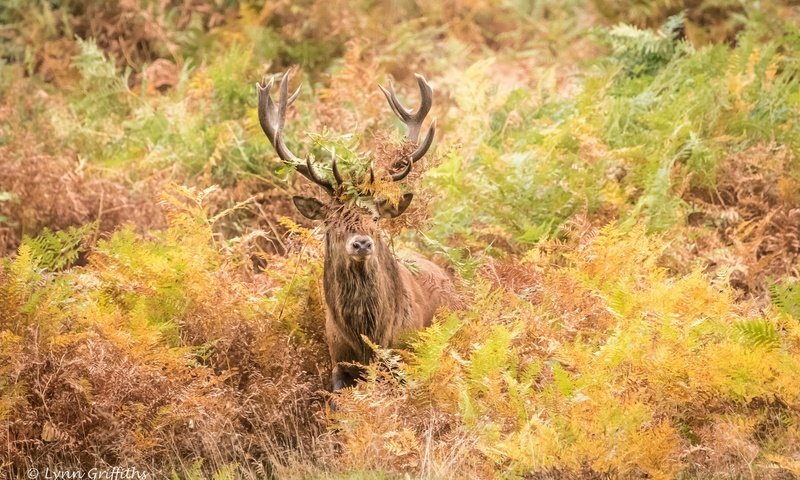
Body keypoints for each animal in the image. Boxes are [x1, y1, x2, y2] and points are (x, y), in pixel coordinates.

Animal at [260, 72, 454, 394]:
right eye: (332, 220)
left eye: (374, 217)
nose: (361, 244)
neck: (369, 341)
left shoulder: (405, 358)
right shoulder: (337, 361)